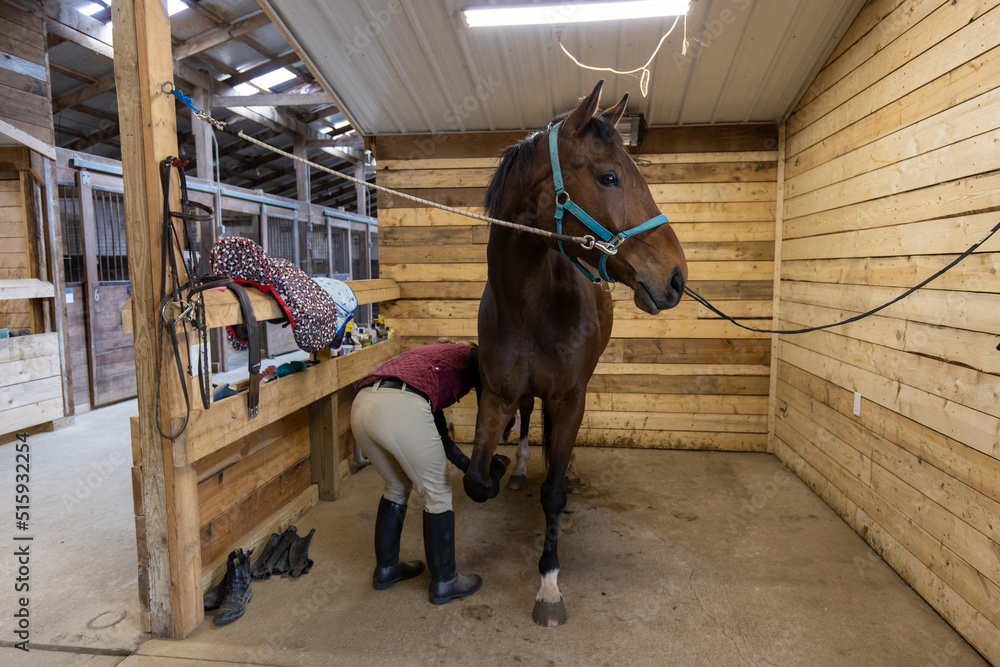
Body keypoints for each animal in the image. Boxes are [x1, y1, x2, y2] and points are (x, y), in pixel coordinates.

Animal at [462, 80, 688, 626]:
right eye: (609, 176)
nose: (676, 277)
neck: (528, 302)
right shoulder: (496, 395)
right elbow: (477, 480)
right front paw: (502, 469)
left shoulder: (570, 398)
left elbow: (554, 493)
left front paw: (548, 585)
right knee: (528, 417)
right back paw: (522, 467)